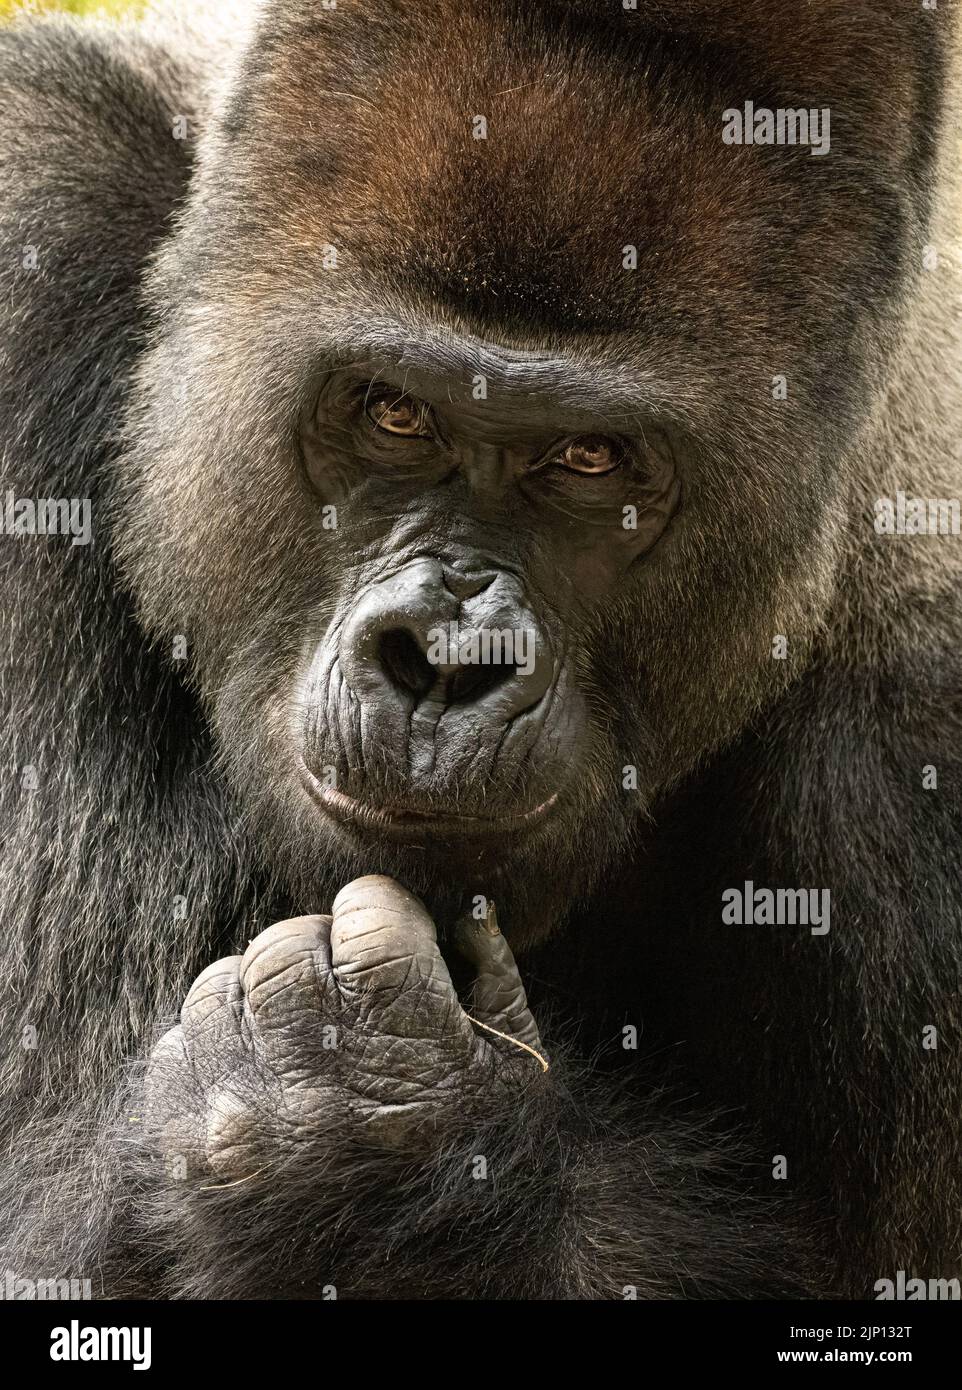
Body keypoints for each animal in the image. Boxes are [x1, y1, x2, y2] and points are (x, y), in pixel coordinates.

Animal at [0, 0, 956, 1301]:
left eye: (591, 460)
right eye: (392, 412)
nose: (447, 661)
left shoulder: (925, 705)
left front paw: (389, 1158)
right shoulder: (36, 206)